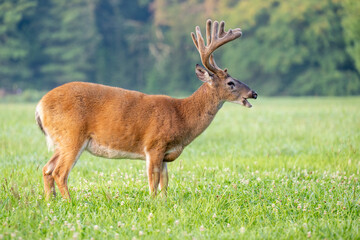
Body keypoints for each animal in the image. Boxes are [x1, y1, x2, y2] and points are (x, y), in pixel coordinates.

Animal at [35, 18, 256, 200]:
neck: (182, 115)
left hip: (60, 141)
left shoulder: (165, 152)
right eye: (230, 83)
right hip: (72, 135)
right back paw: (70, 203)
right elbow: (153, 182)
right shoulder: (154, 144)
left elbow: (165, 182)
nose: (253, 93)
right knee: (59, 172)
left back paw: (50, 202)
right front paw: (152, 203)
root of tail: (39, 106)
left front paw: (164, 203)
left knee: (47, 169)